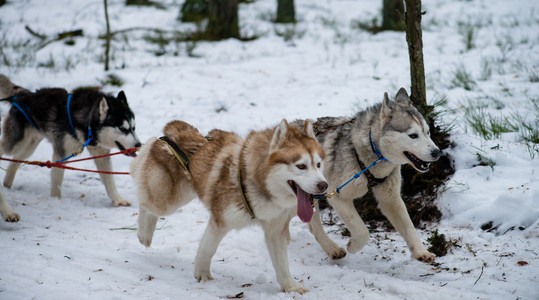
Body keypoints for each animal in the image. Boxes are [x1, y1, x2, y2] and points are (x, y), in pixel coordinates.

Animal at [0, 74, 141, 220]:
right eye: (122, 128)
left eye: (134, 128)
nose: (139, 144)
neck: (88, 125)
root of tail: (25, 94)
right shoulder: (61, 153)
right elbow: (57, 182)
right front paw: (56, 201)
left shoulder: (101, 154)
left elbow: (109, 180)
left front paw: (118, 199)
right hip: (15, 143)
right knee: (6, 149)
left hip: (29, 146)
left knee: (16, 159)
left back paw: (7, 182)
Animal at [132, 119, 330, 292]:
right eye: (301, 166)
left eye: (318, 164)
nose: (323, 185)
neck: (256, 184)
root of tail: (180, 133)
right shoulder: (220, 222)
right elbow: (208, 249)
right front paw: (202, 275)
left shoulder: (275, 230)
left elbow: (282, 264)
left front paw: (290, 287)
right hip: (168, 201)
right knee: (145, 197)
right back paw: (144, 233)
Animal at [304, 88, 442, 264]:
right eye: (413, 135)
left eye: (428, 132)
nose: (437, 153)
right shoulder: (337, 196)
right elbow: (362, 231)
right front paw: (353, 246)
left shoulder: (391, 198)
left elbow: (409, 227)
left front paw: (421, 252)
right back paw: (333, 249)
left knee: (311, 225)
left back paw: (332, 250)